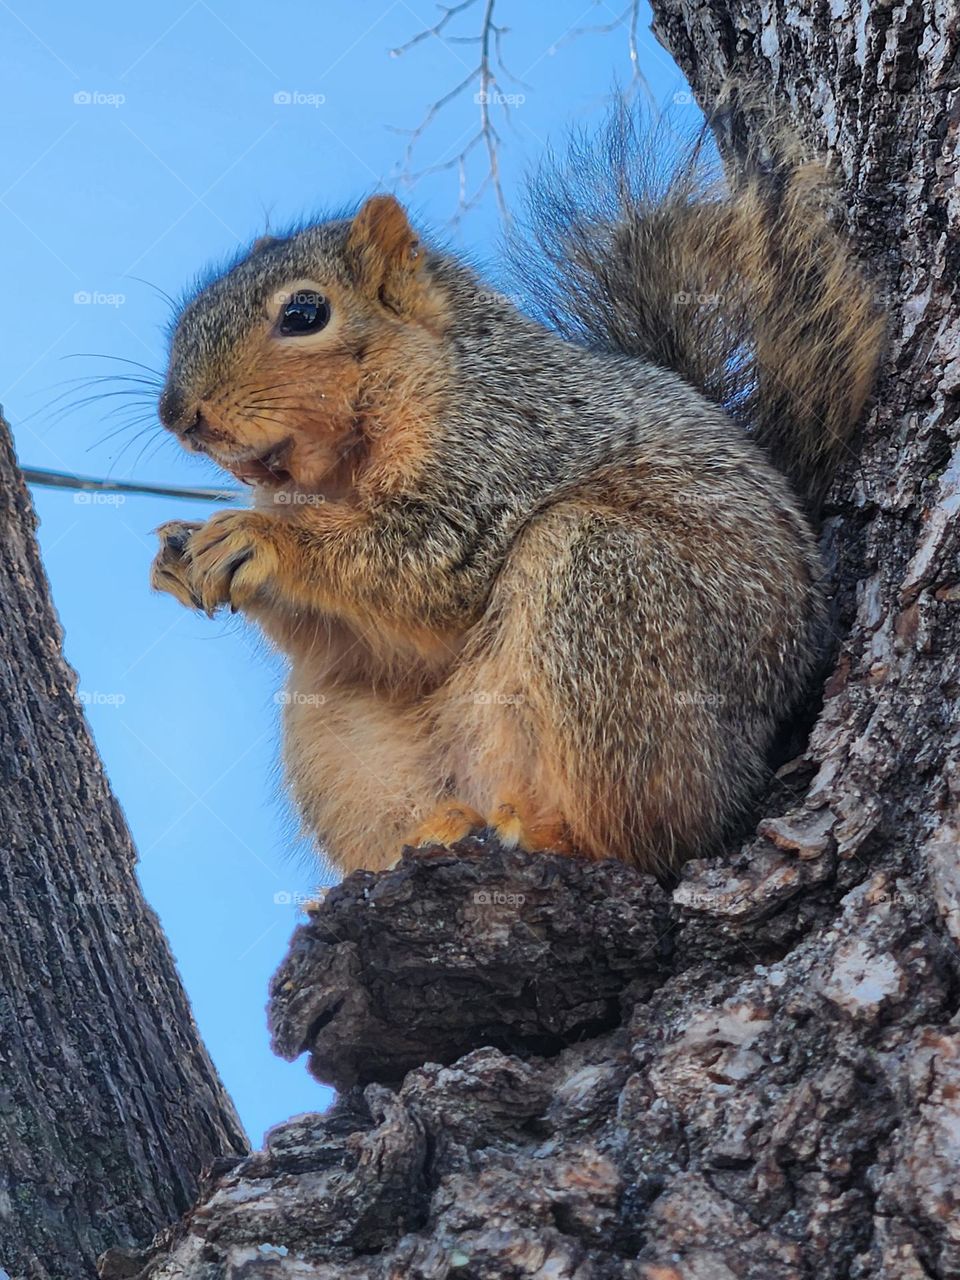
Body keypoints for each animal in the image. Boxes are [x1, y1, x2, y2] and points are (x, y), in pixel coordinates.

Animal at [150, 107, 883, 876]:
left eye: (303, 314)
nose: (178, 415)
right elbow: (381, 642)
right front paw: (177, 556)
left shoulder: (506, 442)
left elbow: (431, 563)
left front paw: (258, 539)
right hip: (344, 737)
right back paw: (434, 832)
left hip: (613, 597)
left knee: (653, 837)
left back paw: (555, 836)